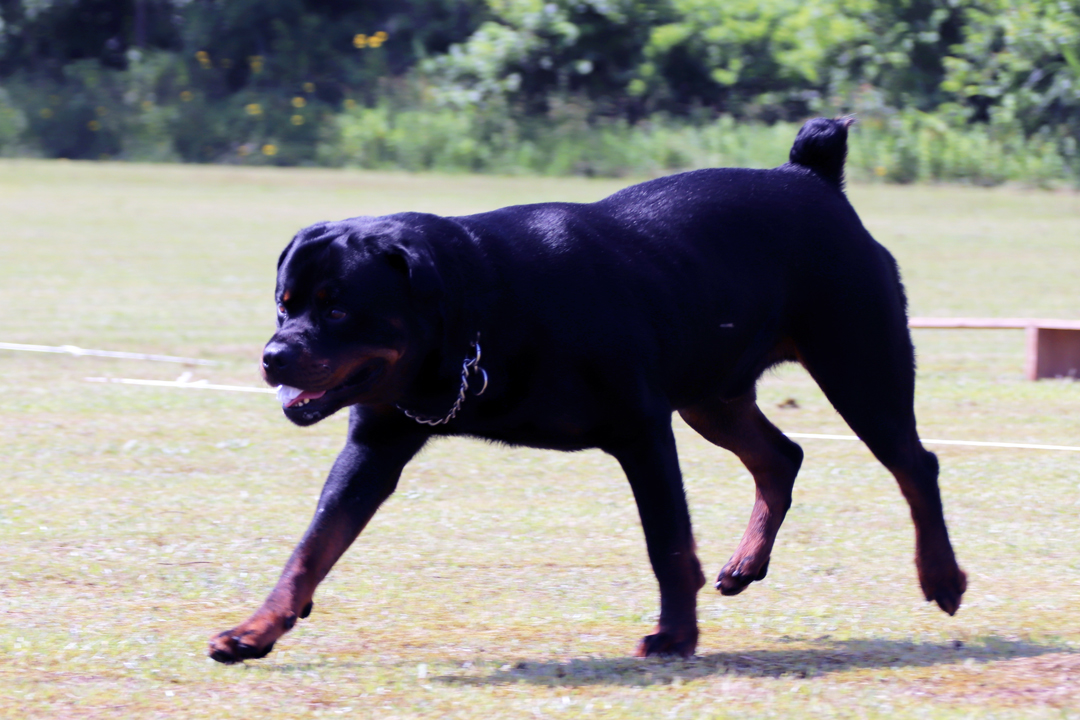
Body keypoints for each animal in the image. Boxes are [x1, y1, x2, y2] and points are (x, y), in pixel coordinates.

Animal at [206, 118, 967, 664]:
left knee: (913, 463)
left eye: (337, 309)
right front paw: (257, 628)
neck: (487, 311)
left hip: (859, 368)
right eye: (284, 304)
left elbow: (668, 543)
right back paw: (746, 563)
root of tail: (809, 175)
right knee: (782, 457)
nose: (273, 356)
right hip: (712, 393)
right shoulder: (376, 443)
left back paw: (942, 577)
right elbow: (312, 546)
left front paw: (675, 637)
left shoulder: (642, 430)